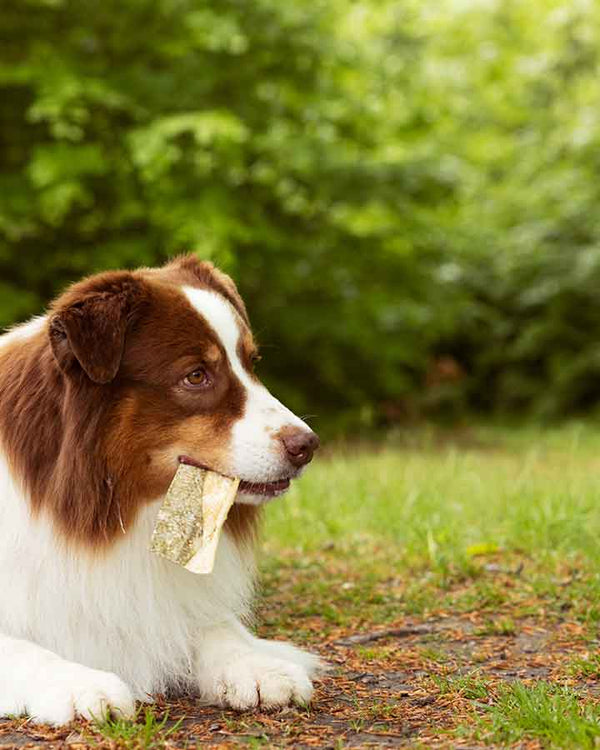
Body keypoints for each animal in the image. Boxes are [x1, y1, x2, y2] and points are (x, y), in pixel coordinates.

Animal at [0, 256, 322, 724]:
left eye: (251, 363)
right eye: (196, 376)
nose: (308, 445)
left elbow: (213, 623)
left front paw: (258, 665)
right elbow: (24, 650)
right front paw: (81, 684)